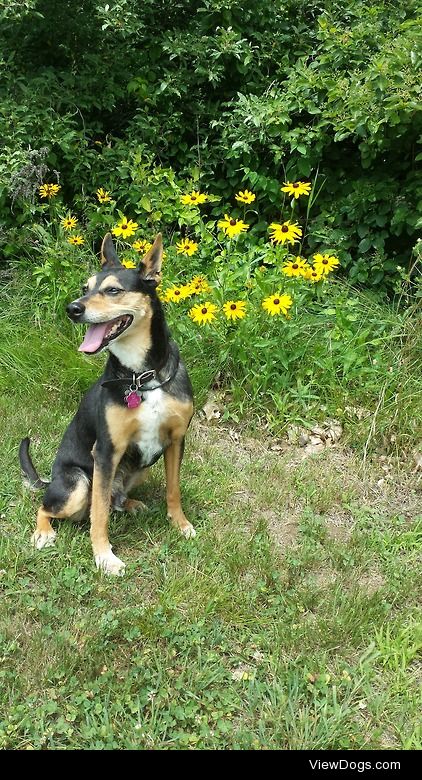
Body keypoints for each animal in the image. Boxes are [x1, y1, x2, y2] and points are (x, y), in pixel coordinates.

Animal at [19, 232, 196, 572]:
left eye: (113, 290)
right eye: (84, 288)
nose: (72, 308)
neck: (142, 376)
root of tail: (51, 480)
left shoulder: (175, 440)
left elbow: (174, 490)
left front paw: (180, 524)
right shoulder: (105, 451)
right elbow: (98, 515)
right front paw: (104, 557)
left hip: (141, 467)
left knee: (113, 499)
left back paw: (132, 503)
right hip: (77, 486)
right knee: (49, 507)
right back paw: (43, 533)